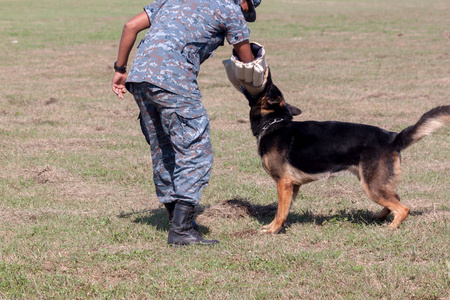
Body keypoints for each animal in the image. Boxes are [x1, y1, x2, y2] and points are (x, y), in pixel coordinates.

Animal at [244, 71, 448, 233]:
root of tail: (393, 137)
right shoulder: (292, 186)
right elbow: (283, 211)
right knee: (395, 198)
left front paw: (272, 231)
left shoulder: (284, 183)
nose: (265, 73)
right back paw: (379, 218)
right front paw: (274, 227)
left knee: (403, 208)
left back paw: (390, 228)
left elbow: (280, 212)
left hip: (372, 187)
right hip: (376, 184)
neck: (274, 123)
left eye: (267, 86)